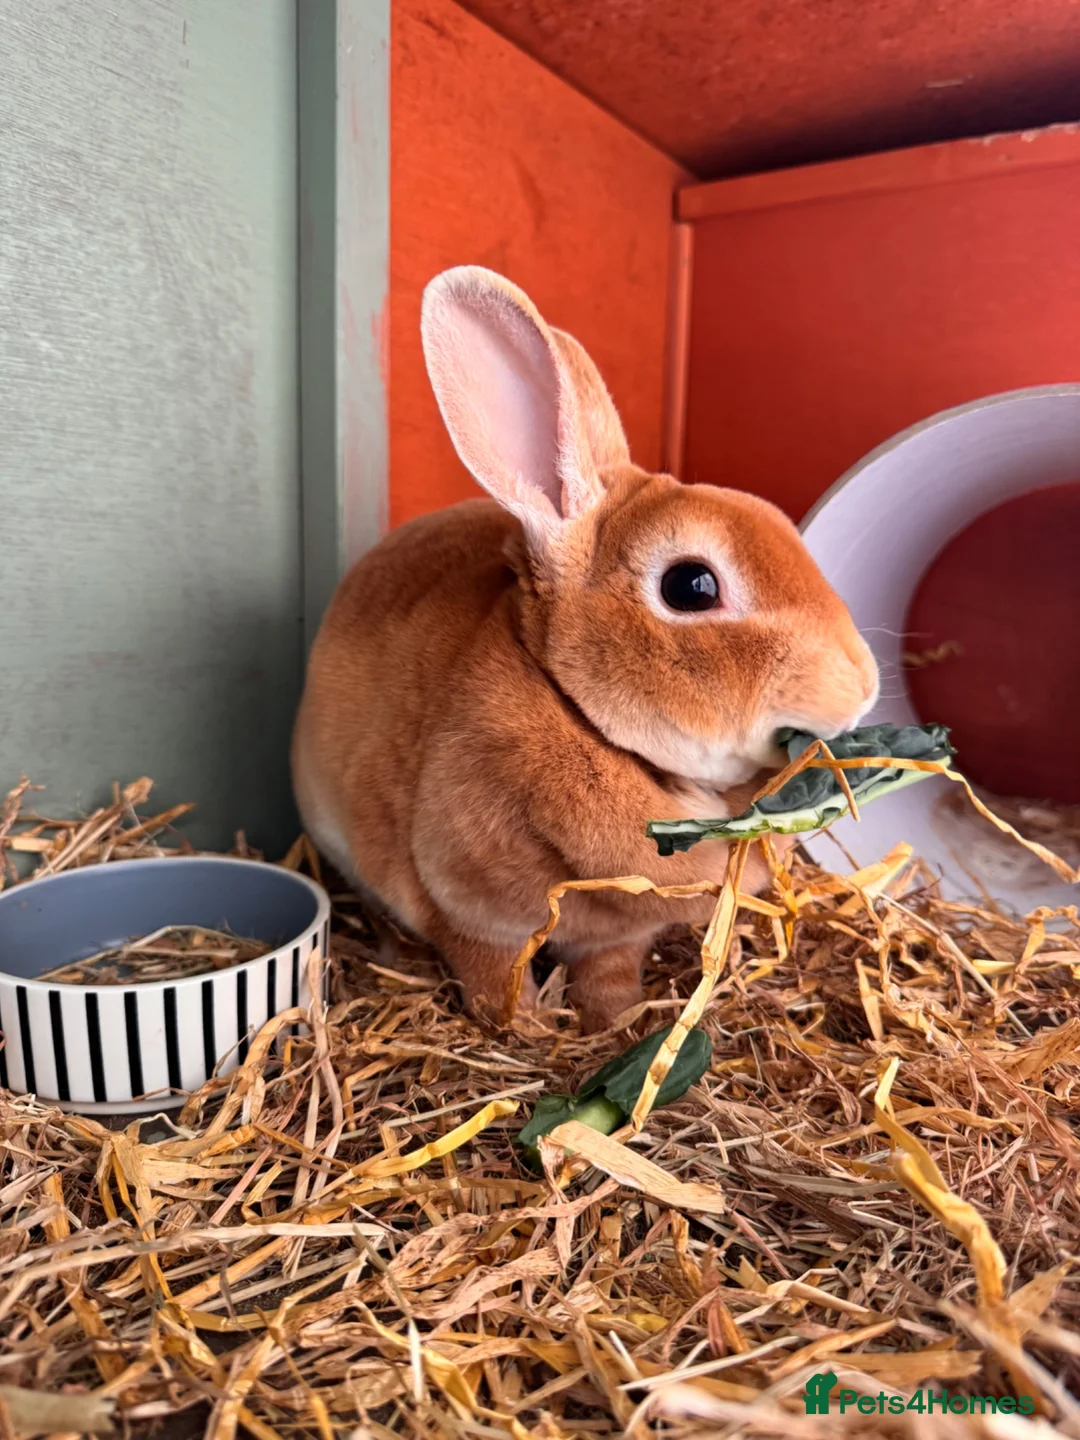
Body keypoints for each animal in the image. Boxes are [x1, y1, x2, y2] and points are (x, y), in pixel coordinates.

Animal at [292, 266, 879, 1033]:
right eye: (692, 585)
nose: (862, 683)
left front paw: (616, 1020)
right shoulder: (469, 914)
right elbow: (490, 977)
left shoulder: (618, 936)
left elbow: (608, 972)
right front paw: (530, 1030)